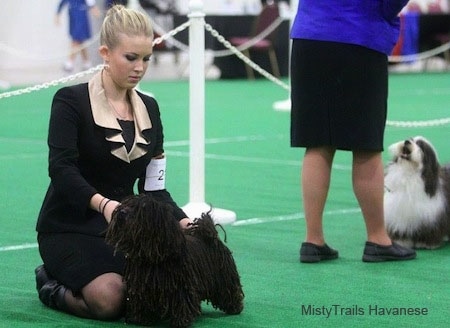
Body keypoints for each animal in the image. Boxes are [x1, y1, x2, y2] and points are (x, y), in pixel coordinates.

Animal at [105, 193, 244, 326]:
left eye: (141, 208)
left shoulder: (180, 287)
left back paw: (234, 307)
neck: (152, 256)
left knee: (229, 290)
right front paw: (141, 319)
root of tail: (211, 236)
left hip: (224, 277)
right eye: (126, 203)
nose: (121, 211)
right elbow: (141, 302)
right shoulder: (141, 286)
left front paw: (181, 320)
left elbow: (182, 302)